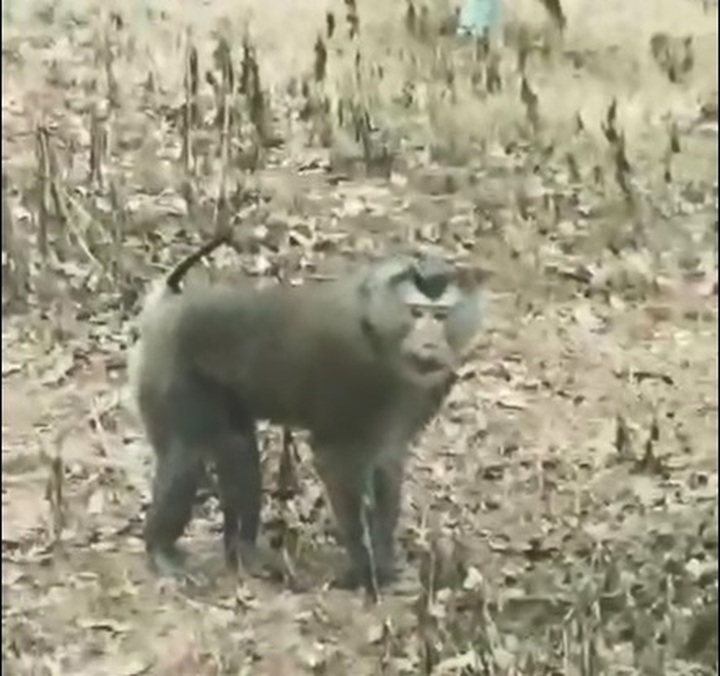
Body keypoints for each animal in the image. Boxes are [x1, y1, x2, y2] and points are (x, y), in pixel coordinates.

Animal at [127, 241, 485, 597]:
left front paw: (385, 562)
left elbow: (387, 460)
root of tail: (173, 294)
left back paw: (244, 552)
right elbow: (334, 458)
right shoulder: (350, 363)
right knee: (186, 454)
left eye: (441, 316)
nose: (430, 343)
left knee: (238, 448)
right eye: (416, 313)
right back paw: (161, 548)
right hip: (168, 362)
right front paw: (366, 571)